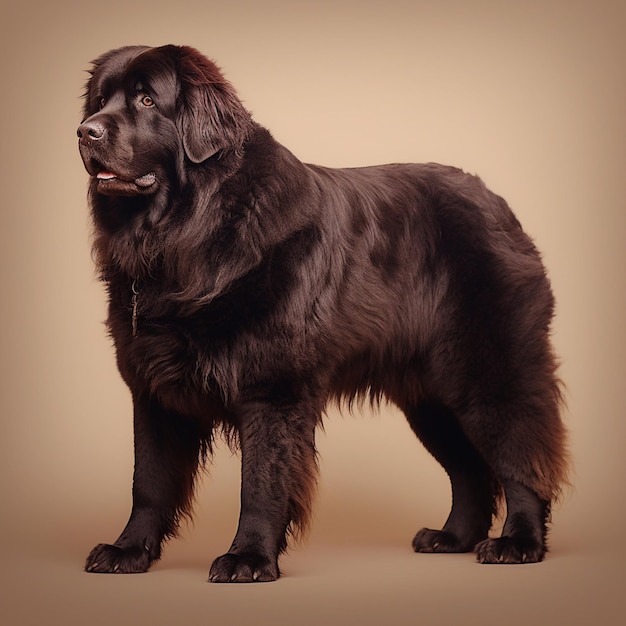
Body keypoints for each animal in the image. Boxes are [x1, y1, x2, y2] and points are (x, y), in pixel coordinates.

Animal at [77, 44, 564, 580]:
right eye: (100, 100)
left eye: (146, 99)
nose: (85, 131)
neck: (187, 235)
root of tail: (498, 205)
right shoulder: (152, 389)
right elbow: (148, 482)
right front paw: (128, 550)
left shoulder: (273, 389)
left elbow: (261, 481)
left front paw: (249, 557)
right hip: (431, 397)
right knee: (470, 470)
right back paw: (452, 537)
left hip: (489, 373)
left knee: (520, 454)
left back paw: (518, 542)